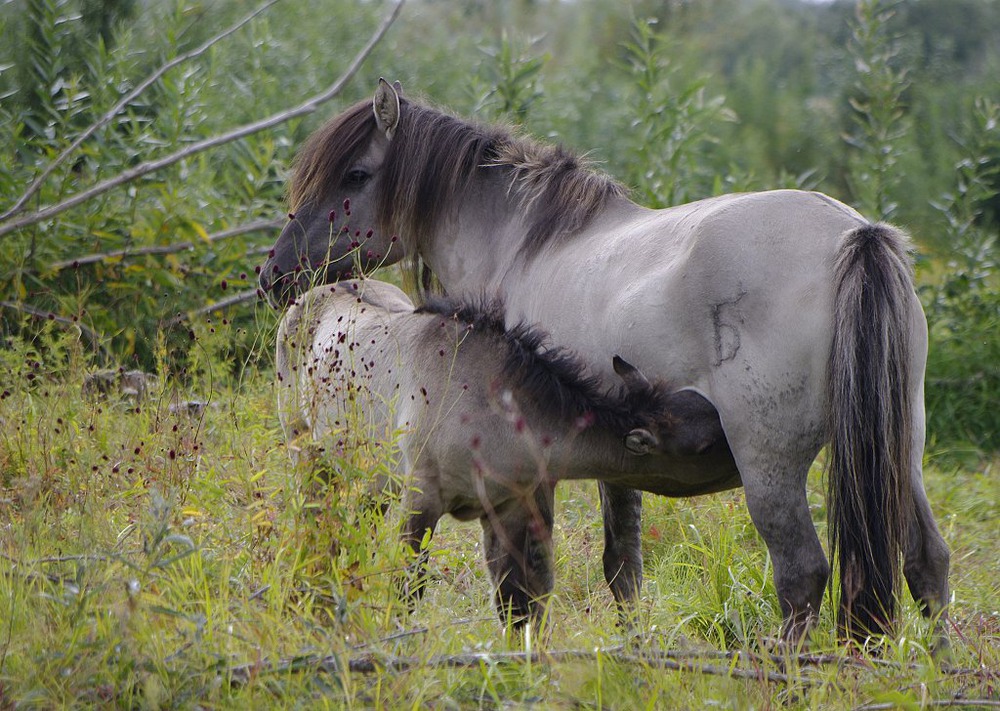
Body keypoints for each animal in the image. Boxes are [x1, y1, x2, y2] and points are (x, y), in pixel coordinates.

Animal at [256, 80, 944, 644]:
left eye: (354, 175)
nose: (275, 275)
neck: (524, 243)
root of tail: (854, 237)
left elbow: (542, 577)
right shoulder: (616, 445)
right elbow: (623, 567)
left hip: (769, 465)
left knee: (801, 575)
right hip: (900, 447)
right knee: (925, 563)